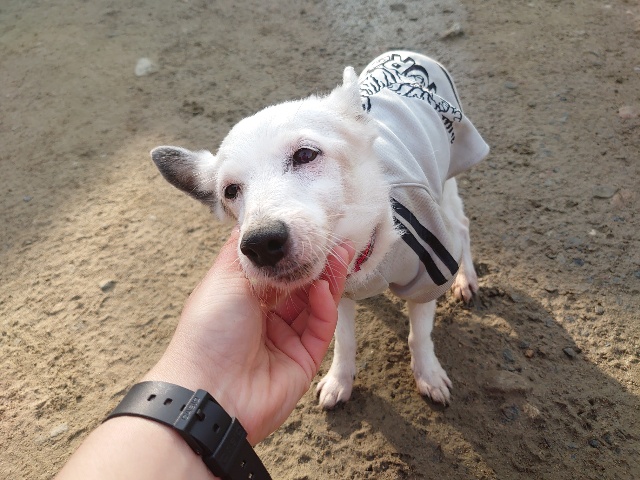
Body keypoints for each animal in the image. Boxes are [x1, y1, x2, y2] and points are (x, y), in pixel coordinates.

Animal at [151, 51, 489, 408]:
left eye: (305, 154)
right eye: (229, 191)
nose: (260, 244)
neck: (364, 255)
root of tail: (409, 54)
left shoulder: (427, 277)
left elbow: (419, 336)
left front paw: (428, 374)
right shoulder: (335, 292)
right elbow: (344, 339)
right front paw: (340, 380)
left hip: (447, 183)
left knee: (462, 227)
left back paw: (466, 278)